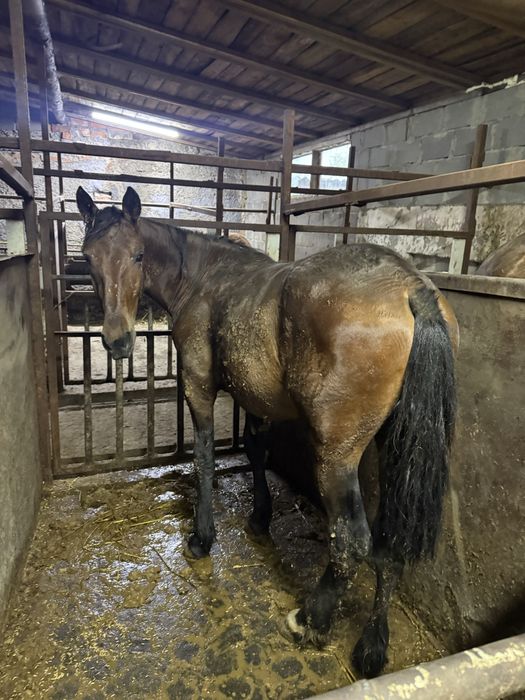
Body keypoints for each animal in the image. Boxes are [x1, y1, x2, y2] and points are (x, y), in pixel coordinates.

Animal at [76, 186, 458, 678]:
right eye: (87, 257)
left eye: (138, 255)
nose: (118, 341)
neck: (203, 279)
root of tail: (411, 287)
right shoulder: (254, 399)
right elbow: (256, 450)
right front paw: (260, 517)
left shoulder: (199, 387)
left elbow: (204, 458)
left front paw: (202, 538)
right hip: (395, 447)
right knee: (389, 540)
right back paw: (373, 645)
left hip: (336, 455)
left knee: (351, 540)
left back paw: (312, 620)